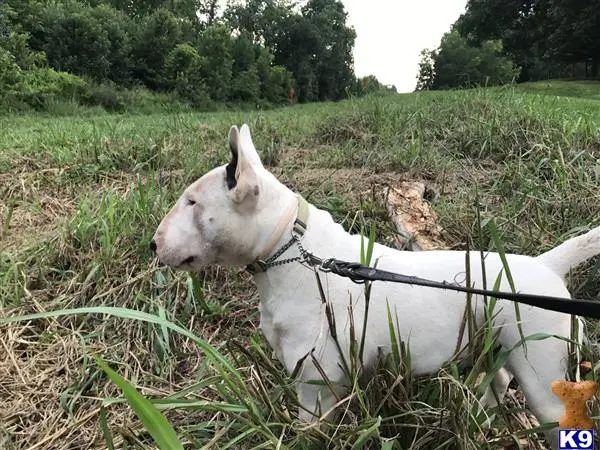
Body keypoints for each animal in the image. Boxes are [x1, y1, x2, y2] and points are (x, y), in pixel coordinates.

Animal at [154, 123, 600, 446]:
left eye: (192, 202)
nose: (152, 244)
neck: (288, 247)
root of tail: (547, 266)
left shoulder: (316, 382)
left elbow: (309, 431)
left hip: (541, 369)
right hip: (496, 342)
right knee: (501, 378)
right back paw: (478, 417)